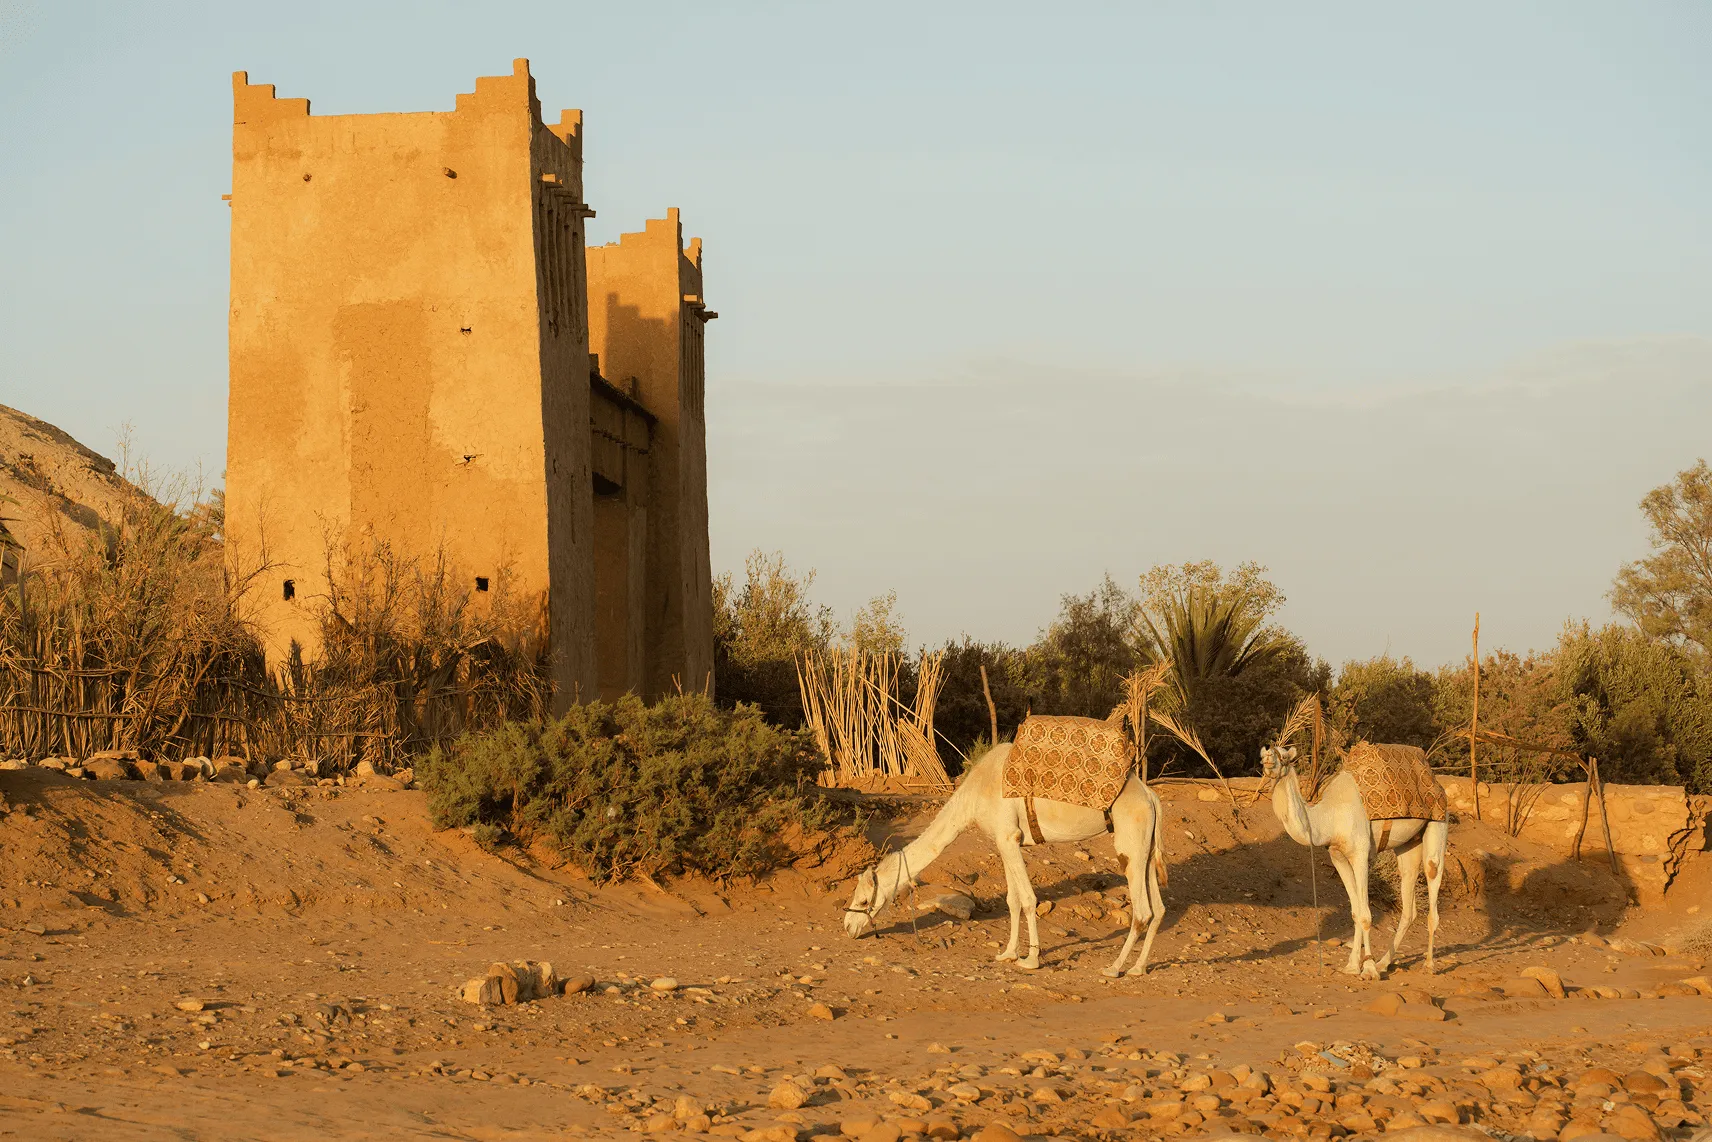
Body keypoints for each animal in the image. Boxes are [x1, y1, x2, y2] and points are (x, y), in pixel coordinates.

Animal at [842, 743, 1167, 975]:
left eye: (863, 900)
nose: (847, 927)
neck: (974, 794)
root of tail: (1151, 796)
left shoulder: (1009, 836)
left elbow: (1028, 899)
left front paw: (1031, 959)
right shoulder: (1004, 841)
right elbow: (1012, 900)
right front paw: (1008, 954)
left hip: (1130, 841)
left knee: (1142, 910)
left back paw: (1114, 968)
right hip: (1146, 846)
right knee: (1159, 908)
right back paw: (1138, 968)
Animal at [1259, 744, 1449, 975]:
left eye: (1284, 756)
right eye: (1263, 753)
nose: (1268, 756)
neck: (1329, 819)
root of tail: (1436, 782)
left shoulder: (1360, 854)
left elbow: (1366, 915)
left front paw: (1367, 969)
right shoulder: (1338, 857)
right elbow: (1356, 912)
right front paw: (1351, 966)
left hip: (1438, 822)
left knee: (1432, 875)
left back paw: (1428, 965)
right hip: (1409, 844)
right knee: (1408, 902)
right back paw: (1384, 963)